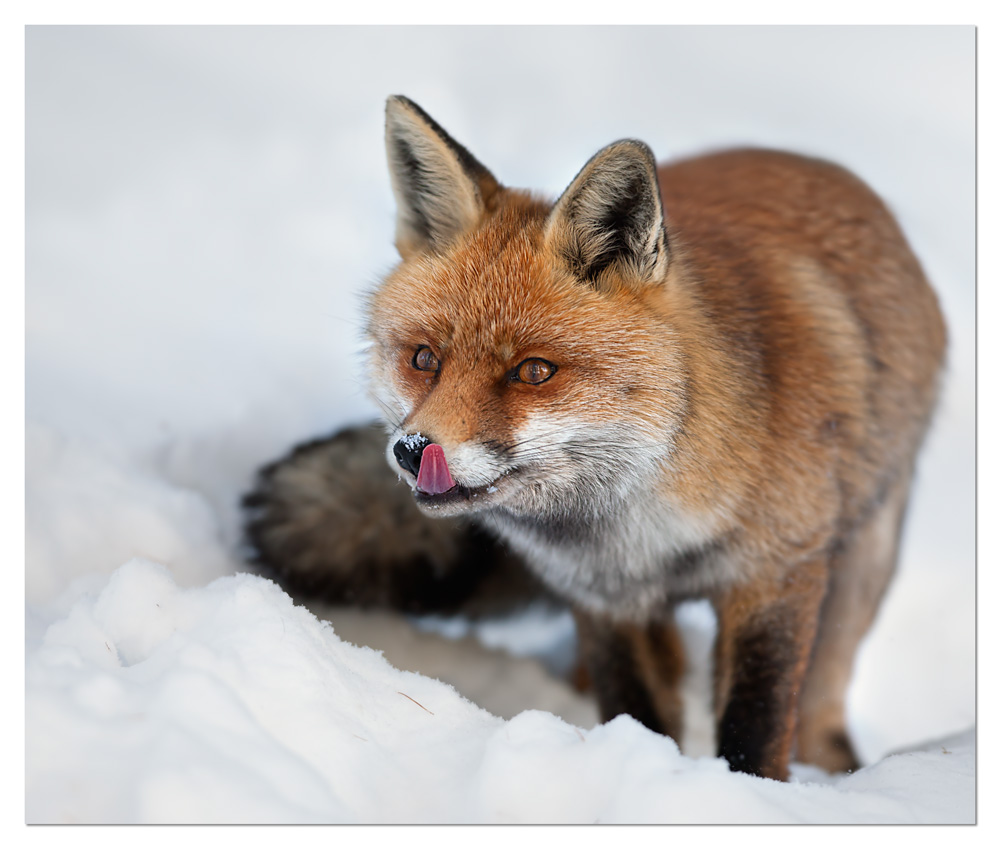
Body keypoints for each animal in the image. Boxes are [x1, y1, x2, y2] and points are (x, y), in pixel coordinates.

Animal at [244, 95, 946, 781]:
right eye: (424, 359)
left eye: (533, 371)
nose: (413, 452)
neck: (642, 530)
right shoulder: (604, 602)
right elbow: (633, 709)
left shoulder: (776, 575)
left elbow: (757, 725)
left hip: (862, 565)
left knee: (823, 693)